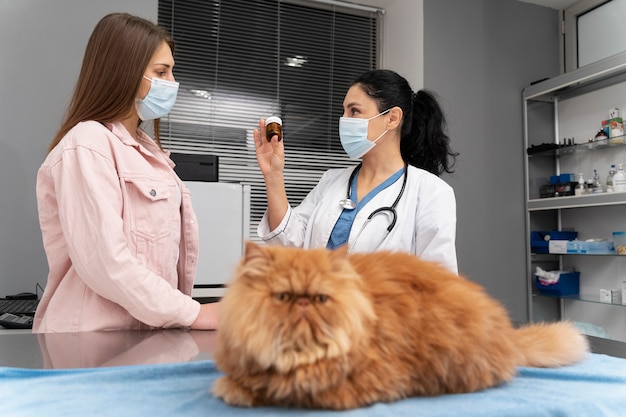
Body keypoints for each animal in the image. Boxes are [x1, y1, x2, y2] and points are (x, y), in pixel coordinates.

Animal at [212, 242, 588, 408]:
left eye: (320, 298)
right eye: (283, 297)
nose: (303, 304)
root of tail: (507, 332)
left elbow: (288, 389)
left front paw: (238, 391)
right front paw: (234, 387)